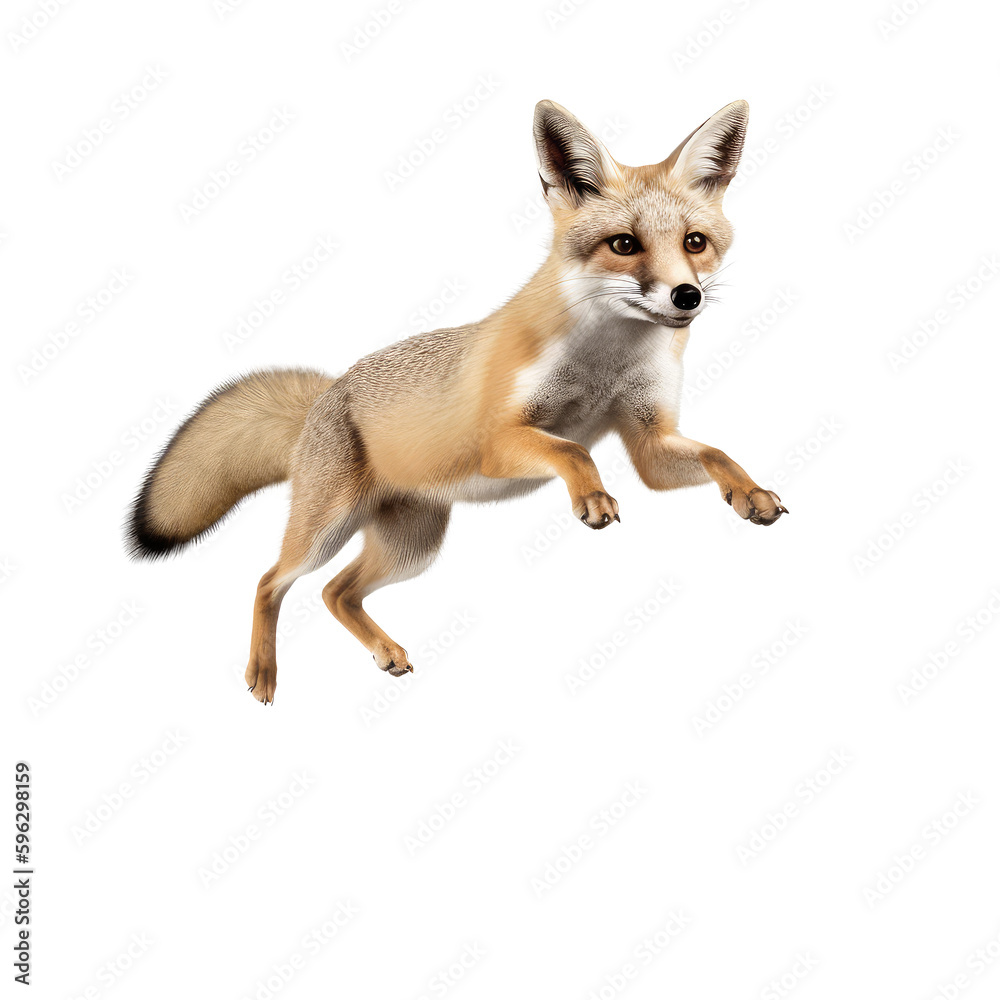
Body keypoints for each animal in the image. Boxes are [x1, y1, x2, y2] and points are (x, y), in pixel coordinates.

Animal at [127, 98, 788, 704]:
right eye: (624, 244)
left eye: (695, 242)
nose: (686, 296)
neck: (607, 362)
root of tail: (330, 389)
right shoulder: (500, 441)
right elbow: (573, 450)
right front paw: (592, 495)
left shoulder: (649, 441)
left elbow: (717, 454)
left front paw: (750, 492)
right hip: (326, 530)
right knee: (269, 581)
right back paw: (262, 674)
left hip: (412, 549)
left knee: (334, 592)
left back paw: (383, 652)